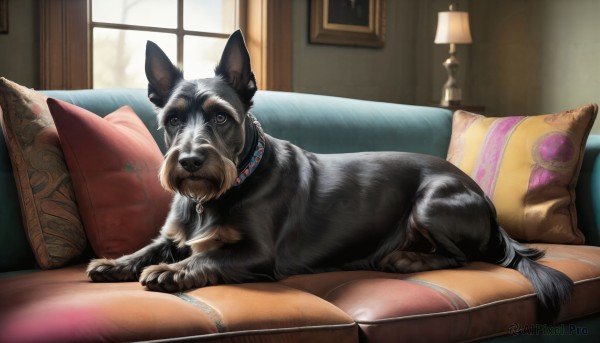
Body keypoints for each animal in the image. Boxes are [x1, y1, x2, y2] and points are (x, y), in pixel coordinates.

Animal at [88, 30, 572, 322]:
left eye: (221, 117)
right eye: (172, 119)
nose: (189, 161)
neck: (223, 190)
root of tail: (483, 198)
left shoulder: (257, 254)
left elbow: (206, 258)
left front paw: (171, 272)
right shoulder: (175, 233)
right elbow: (151, 247)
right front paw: (115, 263)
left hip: (432, 202)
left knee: (463, 256)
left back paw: (405, 258)